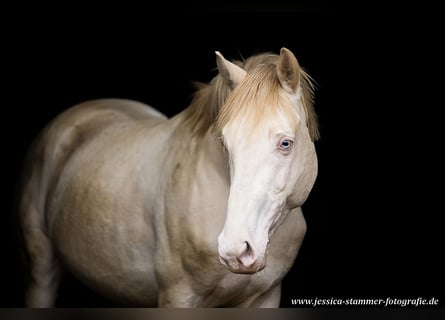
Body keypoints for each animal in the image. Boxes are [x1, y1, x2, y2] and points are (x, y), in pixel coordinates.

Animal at [16, 47, 316, 308]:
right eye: (225, 143)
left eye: (286, 143)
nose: (235, 250)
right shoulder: (179, 295)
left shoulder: (265, 297)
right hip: (42, 268)